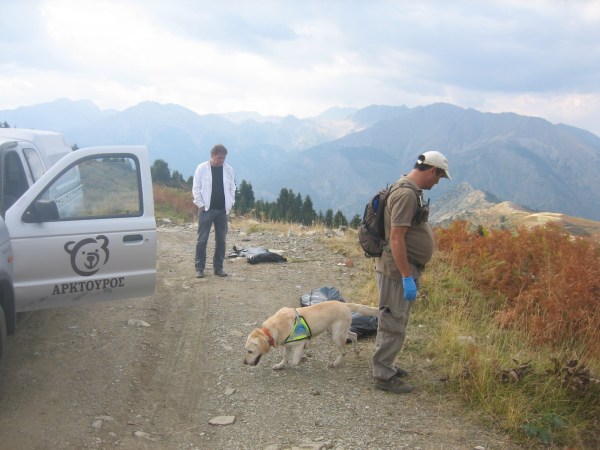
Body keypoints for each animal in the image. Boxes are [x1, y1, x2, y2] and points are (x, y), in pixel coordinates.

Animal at [243, 300, 376, 370]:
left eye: (250, 351)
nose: (244, 362)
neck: (275, 327)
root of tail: (344, 304)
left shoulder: (300, 343)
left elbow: (294, 361)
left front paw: (300, 360)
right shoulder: (287, 345)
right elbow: (285, 357)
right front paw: (280, 365)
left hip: (337, 335)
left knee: (343, 351)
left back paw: (335, 363)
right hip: (339, 331)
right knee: (354, 335)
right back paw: (356, 351)